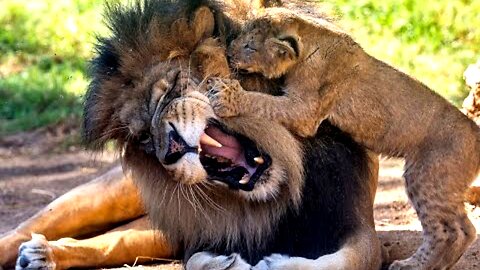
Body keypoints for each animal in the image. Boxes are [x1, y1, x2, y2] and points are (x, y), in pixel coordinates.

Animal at [0, 0, 382, 270]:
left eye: (171, 89)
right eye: (142, 138)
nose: (169, 149)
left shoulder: (357, 222)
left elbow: (352, 260)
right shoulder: (200, 233)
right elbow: (196, 259)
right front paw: (224, 263)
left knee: (112, 242)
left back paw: (42, 255)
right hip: (100, 195)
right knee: (23, 229)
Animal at [207, 6, 480, 270]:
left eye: (250, 47)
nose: (228, 53)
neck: (308, 41)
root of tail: (475, 132)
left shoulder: (304, 111)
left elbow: (263, 102)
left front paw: (225, 94)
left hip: (426, 177)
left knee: (452, 232)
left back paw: (412, 265)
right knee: (465, 228)